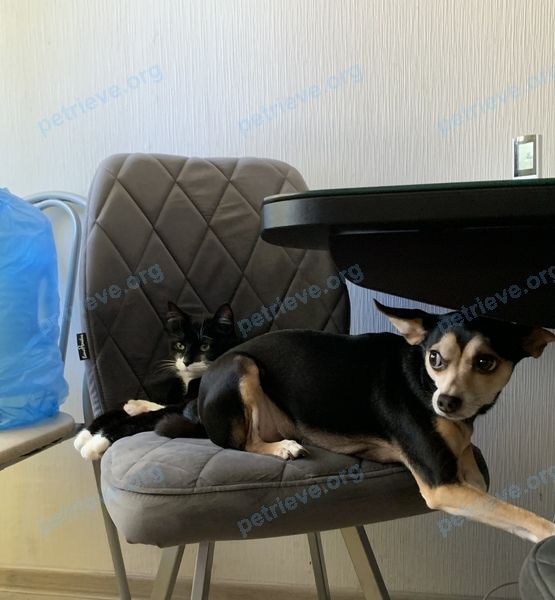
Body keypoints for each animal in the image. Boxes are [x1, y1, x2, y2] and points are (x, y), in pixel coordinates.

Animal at [74, 302, 238, 460]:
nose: (186, 362)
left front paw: (96, 442)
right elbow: (121, 410)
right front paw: (85, 434)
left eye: (205, 346)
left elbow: (148, 417)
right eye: (180, 345)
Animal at [192, 300, 555, 543]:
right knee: (244, 442)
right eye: (434, 357)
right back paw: (283, 448)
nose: (445, 402)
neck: (421, 379)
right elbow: (525, 517)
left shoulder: (470, 481)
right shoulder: (442, 486)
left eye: (485, 363)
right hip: (243, 367)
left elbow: (506, 510)